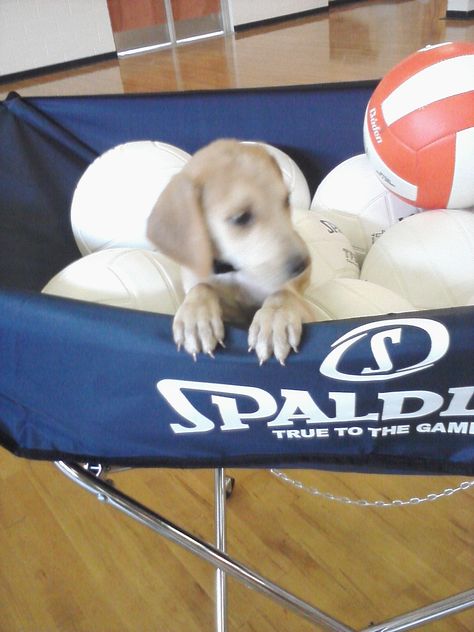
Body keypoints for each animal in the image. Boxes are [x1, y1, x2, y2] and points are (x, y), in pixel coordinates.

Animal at [147, 138, 318, 366]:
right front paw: (196, 319)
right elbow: (201, 287)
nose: (303, 264)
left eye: (286, 201)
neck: (233, 270)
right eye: (241, 218)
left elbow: (282, 293)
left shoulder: (309, 311)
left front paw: (274, 319)